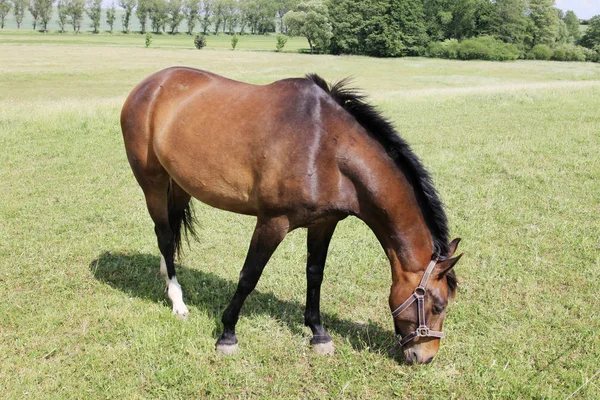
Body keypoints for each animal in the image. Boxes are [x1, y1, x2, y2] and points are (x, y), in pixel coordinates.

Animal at [119, 67, 462, 364]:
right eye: (438, 305)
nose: (425, 357)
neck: (326, 148)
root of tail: (150, 85)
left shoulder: (324, 224)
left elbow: (315, 274)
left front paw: (318, 333)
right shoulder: (272, 222)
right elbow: (249, 276)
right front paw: (227, 334)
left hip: (179, 184)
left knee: (171, 231)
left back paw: (167, 277)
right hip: (152, 181)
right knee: (164, 235)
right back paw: (177, 301)